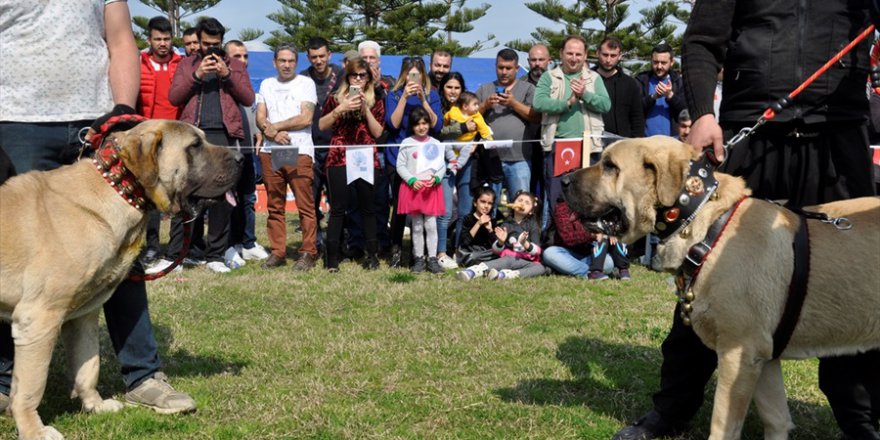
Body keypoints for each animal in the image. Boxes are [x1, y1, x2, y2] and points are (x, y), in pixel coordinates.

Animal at [0, 119, 242, 440]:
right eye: (194, 146)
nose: (242, 158)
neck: (117, 189)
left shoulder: (83, 315)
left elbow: (88, 365)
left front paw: (95, 405)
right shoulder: (39, 318)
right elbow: (31, 386)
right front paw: (33, 430)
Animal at [560, 137, 876, 440]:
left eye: (610, 166)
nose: (563, 180)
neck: (707, 224)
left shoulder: (739, 353)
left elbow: (723, 425)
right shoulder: (763, 357)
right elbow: (776, 419)